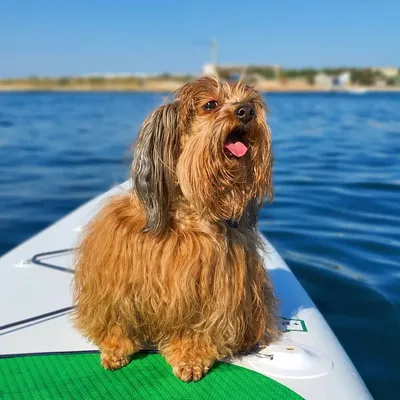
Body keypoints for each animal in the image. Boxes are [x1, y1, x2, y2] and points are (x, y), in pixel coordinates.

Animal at [72, 77, 278, 382]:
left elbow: (196, 327)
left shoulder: (209, 287)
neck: (184, 213)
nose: (247, 112)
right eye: (210, 104)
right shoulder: (117, 274)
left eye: (251, 102)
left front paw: (191, 358)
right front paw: (115, 348)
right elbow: (117, 315)